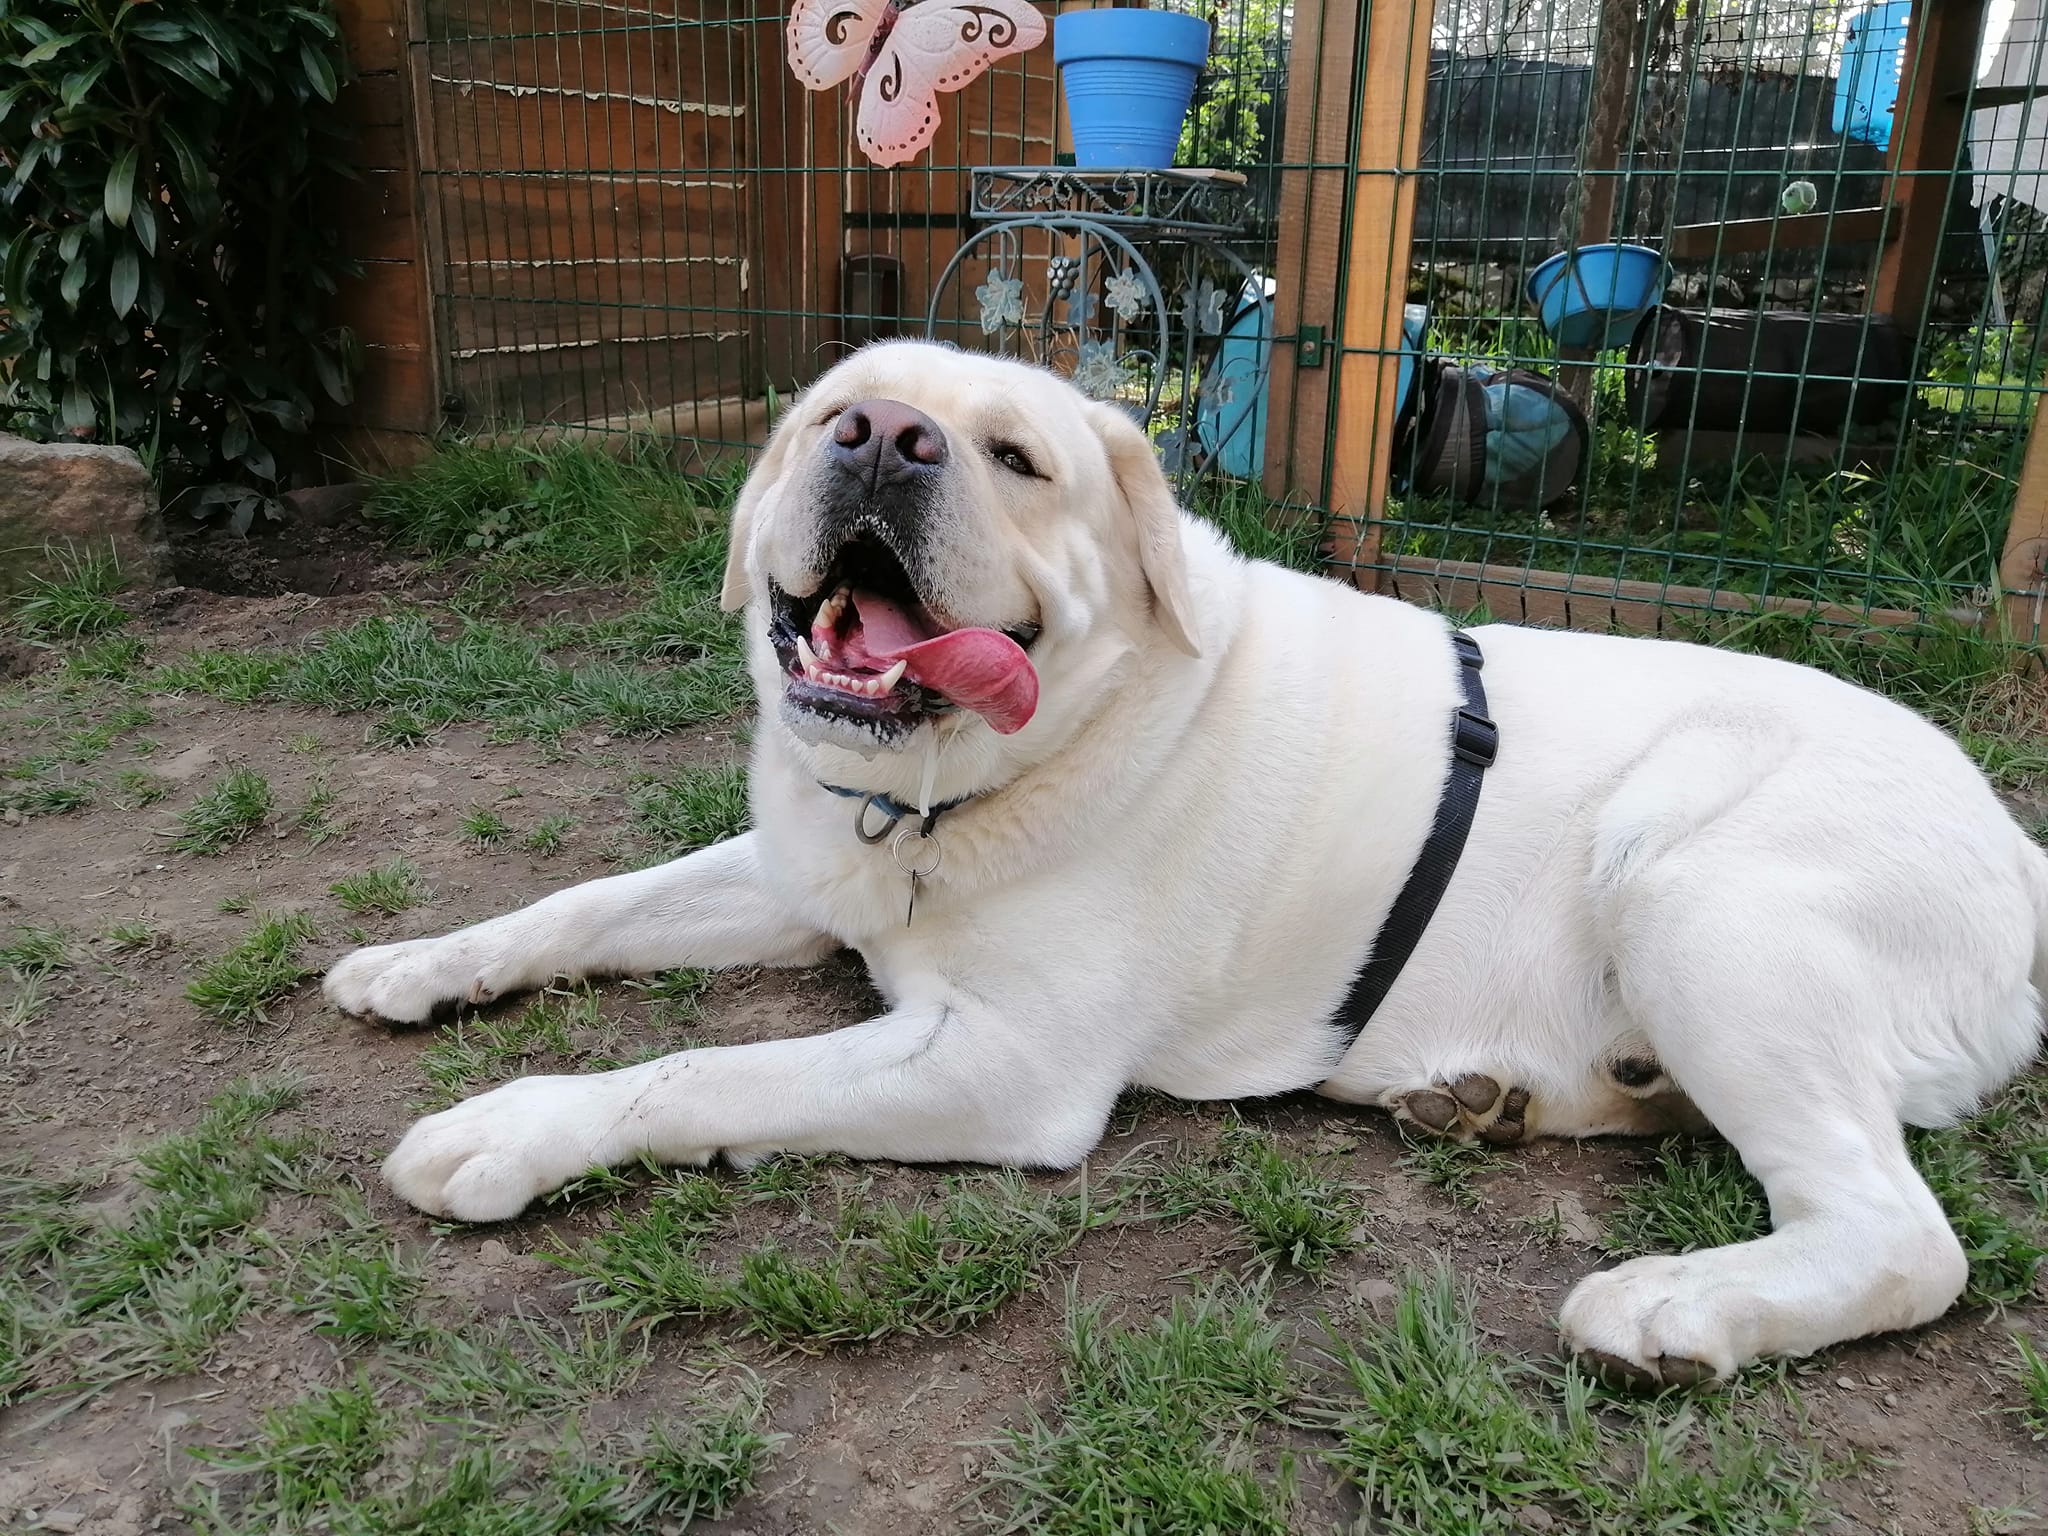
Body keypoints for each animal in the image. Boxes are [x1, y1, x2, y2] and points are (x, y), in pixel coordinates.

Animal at [326, 341, 2048, 1388]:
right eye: (835, 413)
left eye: (1017, 459)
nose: (884, 441)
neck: (961, 794)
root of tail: (2020, 846)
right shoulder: (804, 871)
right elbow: (584, 902)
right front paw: (419, 965)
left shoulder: (1006, 1066)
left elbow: (696, 1075)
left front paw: (507, 1130)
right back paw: (1514, 1097)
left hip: (1699, 892)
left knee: (1906, 1240)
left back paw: (1679, 1304)